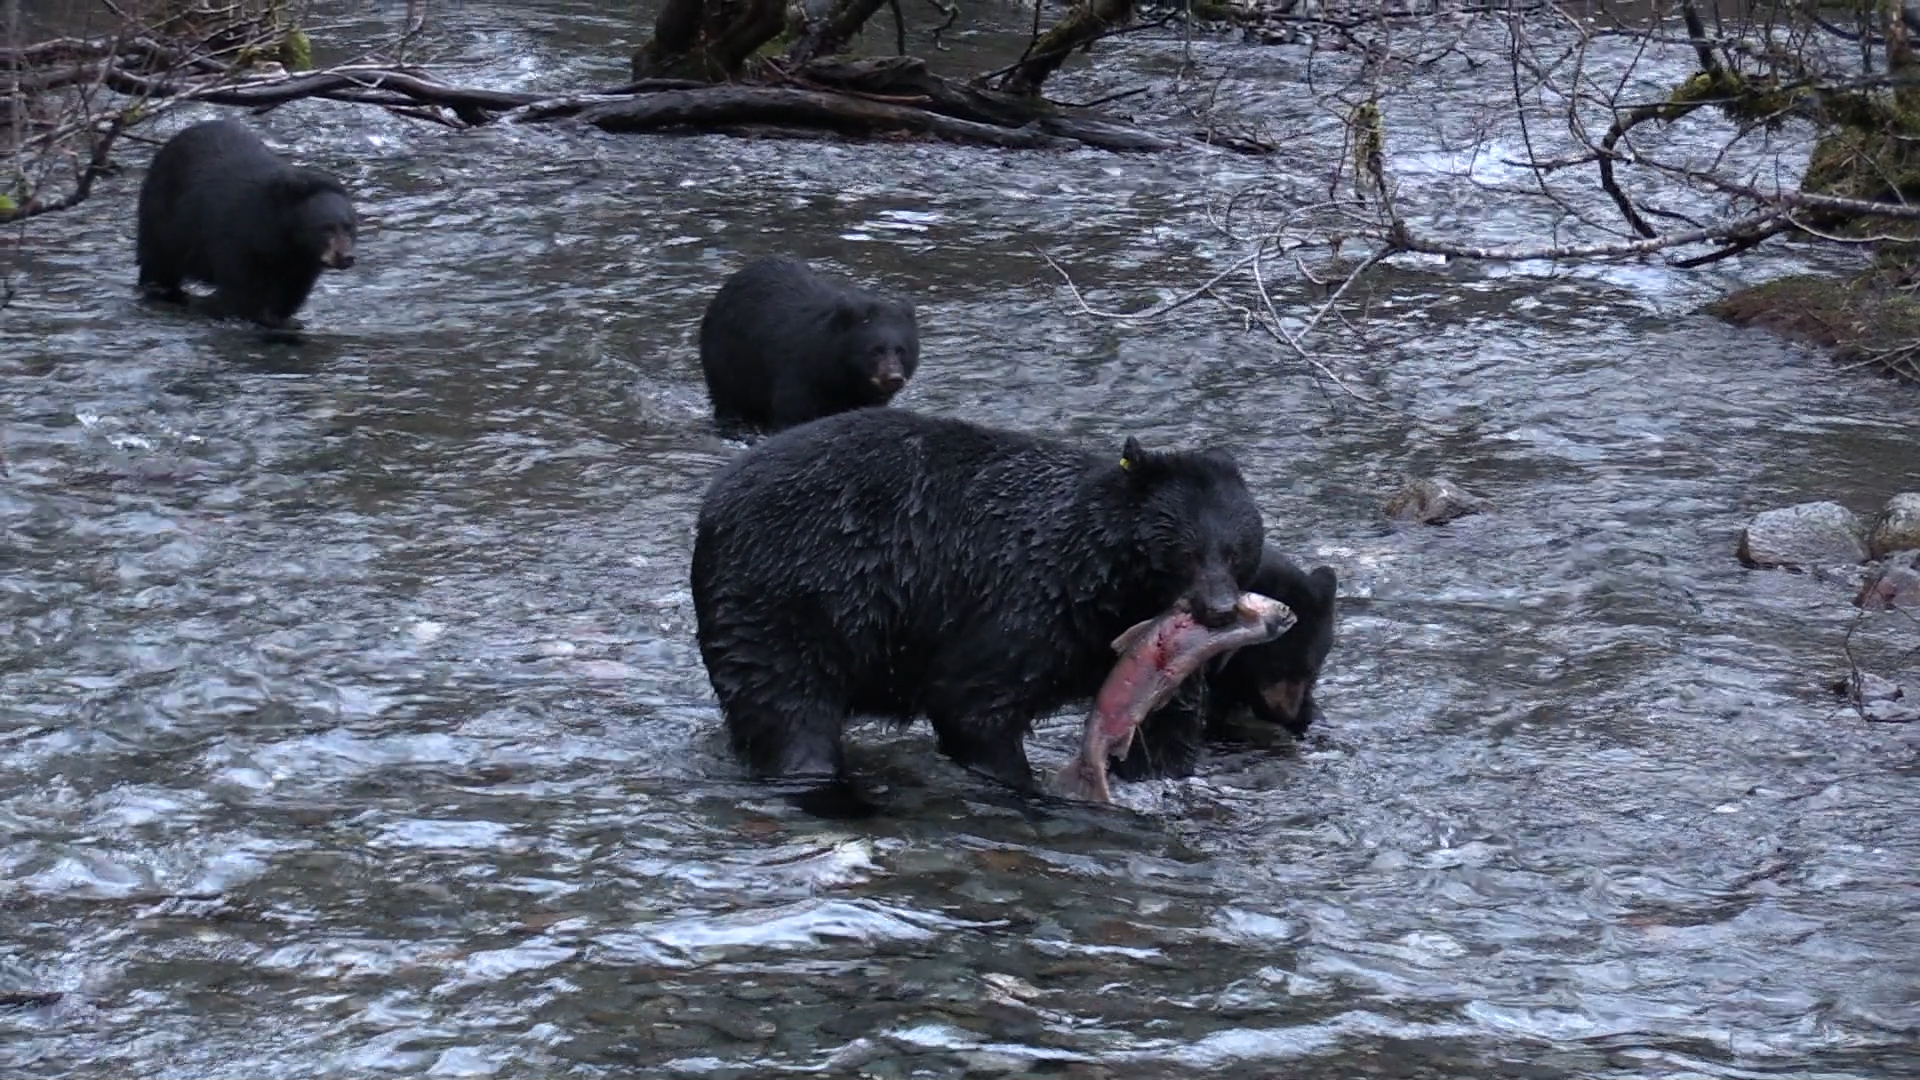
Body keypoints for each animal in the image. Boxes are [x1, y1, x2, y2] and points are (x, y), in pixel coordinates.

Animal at [136, 119, 358, 329]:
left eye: (348, 227)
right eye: (326, 228)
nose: (346, 257)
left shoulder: (301, 262)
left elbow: (291, 290)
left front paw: (282, 318)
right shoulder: (236, 240)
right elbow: (243, 286)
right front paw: (258, 316)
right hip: (161, 215)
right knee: (158, 259)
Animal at [689, 407, 1266, 803]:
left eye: (1237, 550)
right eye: (1185, 551)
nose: (1219, 610)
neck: (1104, 584)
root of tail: (713, 505)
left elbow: (1166, 719)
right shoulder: (1026, 599)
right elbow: (975, 700)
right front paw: (1020, 782)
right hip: (787, 601)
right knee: (789, 707)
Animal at [697, 256, 919, 433]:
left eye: (901, 351)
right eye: (875, 351)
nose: (893, 378)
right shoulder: (800, 374)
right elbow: (794, 413)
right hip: (726, 359)